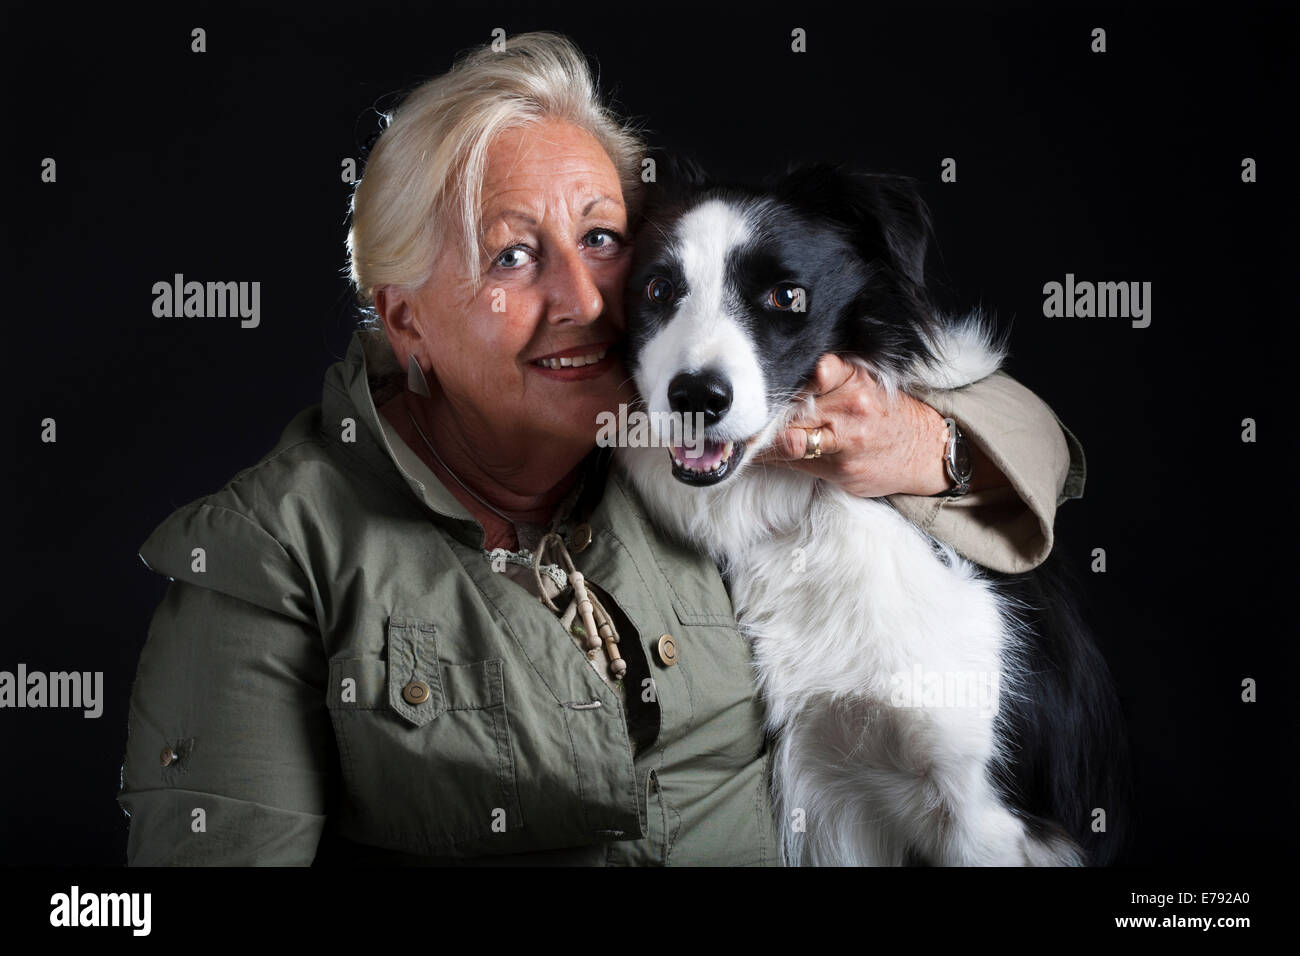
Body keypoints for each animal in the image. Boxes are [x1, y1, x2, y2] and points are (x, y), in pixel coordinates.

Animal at [616, 158, 1128, 868]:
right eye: (659, 289)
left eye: (786, 297)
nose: (695, 397)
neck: (802, 511)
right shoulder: (823, 797)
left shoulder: (985, 818)